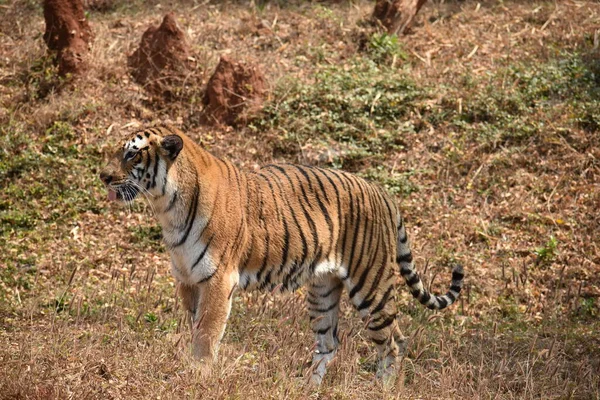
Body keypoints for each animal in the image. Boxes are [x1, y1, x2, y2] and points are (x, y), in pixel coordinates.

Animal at [99, 124, 464, 384]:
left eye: (132, 155)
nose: (103, 176)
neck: (167, 205)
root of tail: (382, 192)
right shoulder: (187, 279)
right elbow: (193, 326)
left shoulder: (218, 279)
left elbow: (206, 333)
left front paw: (197, 374)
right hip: (322, 291)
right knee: (329, 342)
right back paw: (307, 389)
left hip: (370, 284)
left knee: (393, 342)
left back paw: (381, 390)